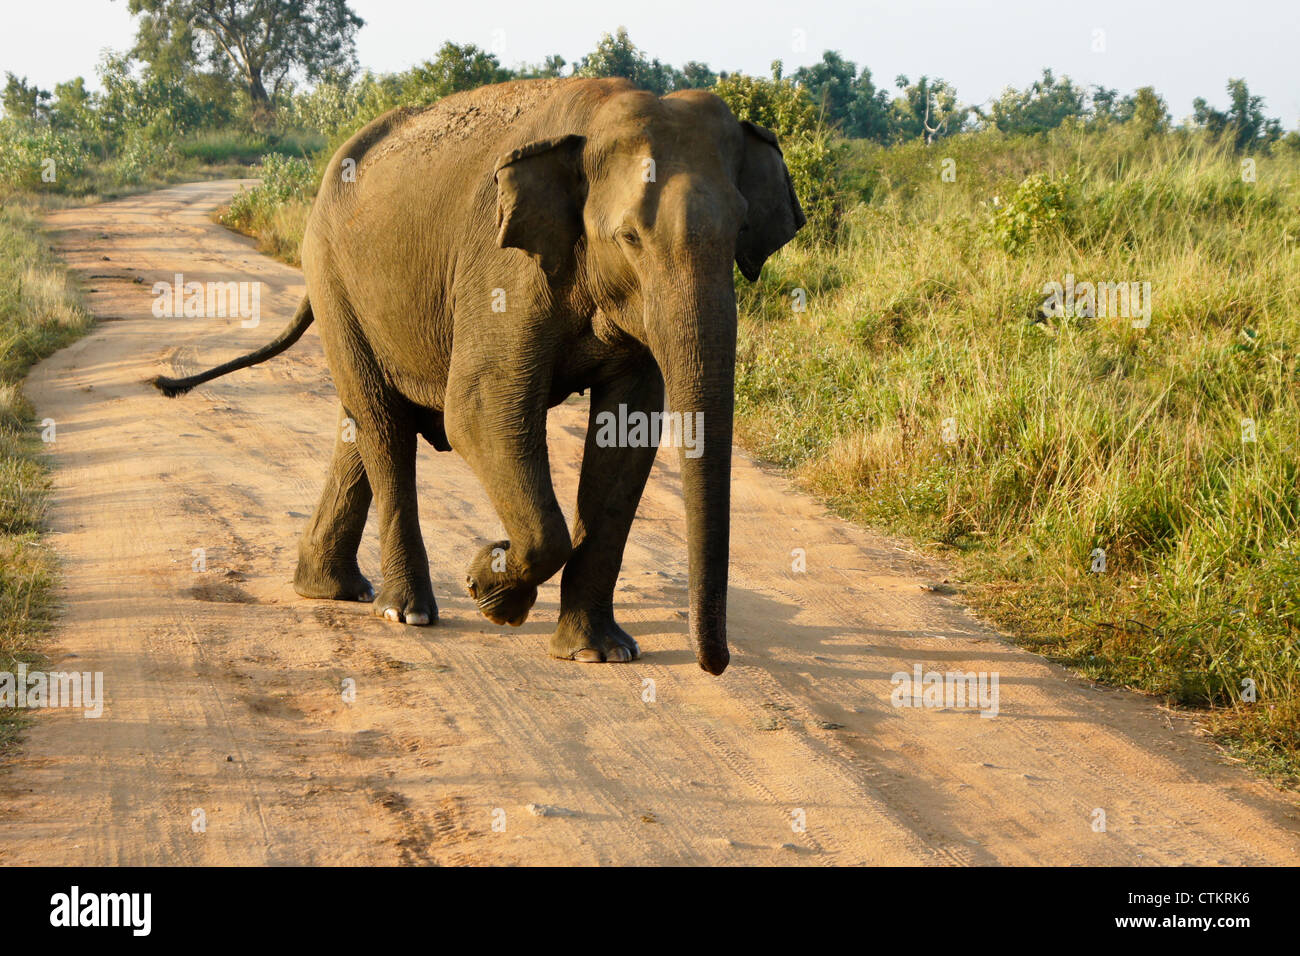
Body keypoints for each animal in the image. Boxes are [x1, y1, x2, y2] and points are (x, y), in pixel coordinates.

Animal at [154, 77, 804, 674]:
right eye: (628, 238)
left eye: (740, 231)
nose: (714, 664)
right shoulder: (504, 268)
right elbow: (478, 412)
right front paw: (489, 589)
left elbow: (627, 438)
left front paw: (598, 653)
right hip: (331, 274)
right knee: (384, 428)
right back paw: (406, 611)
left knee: (361, 424)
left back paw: (333, 589)